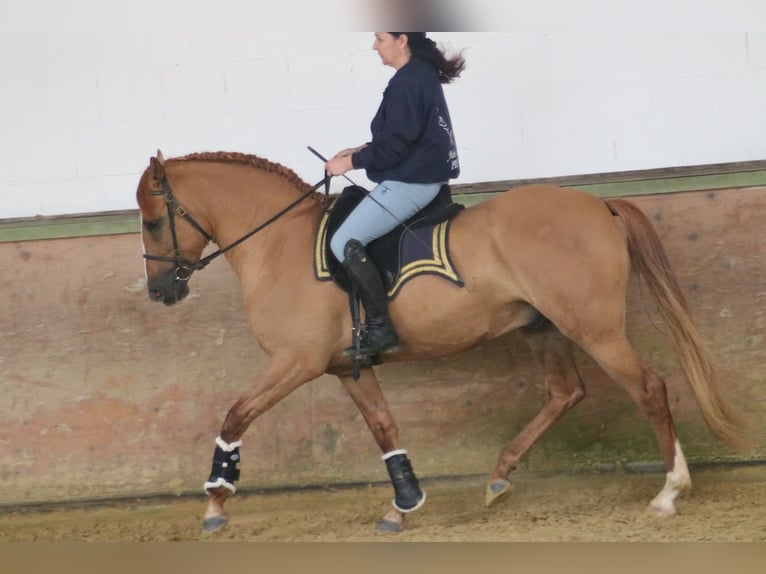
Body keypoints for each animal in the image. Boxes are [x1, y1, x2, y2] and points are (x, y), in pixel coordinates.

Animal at [135, 150, 745, 534]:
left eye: (152, 222)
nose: (160, 291)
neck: (278, 243)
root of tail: (597, 204)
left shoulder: (296, 362)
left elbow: (235, 416)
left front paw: (216, 500)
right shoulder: (345, 367)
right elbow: (385, 429)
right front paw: (403, 505)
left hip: (593, 328)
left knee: (648, 388)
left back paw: (669, 491)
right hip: (544, 328)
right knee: (565, 393)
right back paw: (499, 477)